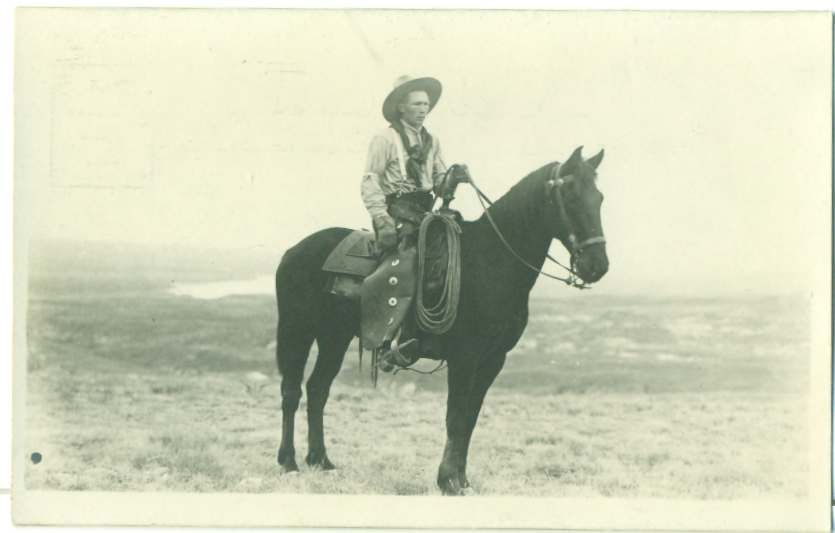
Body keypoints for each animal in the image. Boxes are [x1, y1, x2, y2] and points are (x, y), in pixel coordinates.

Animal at [278, 145, 612, 494]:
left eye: (599, 197)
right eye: (571, 195)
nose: (597, 266)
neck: (491, 261)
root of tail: (293, 251)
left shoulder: (493, 359)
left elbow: (470, 418)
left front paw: (461, 479)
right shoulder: (465, 357)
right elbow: (455, 416)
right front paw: (448, 480)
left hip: (334, 338)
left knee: (318, 388)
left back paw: (321, 460)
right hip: (296, 331)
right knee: (291, 391)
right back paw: (289, 463)